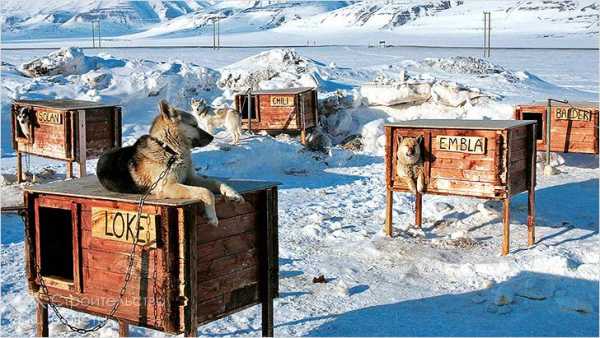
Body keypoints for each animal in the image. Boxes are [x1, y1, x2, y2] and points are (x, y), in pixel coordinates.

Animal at [97, 99, 243, 226]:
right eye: (194, 125)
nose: (212, 137)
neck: (171, 151)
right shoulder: (168, 186)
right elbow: (206, 192)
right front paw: (212, 215)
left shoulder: (191, 179)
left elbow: (216, 182)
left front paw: (233, 193)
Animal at [386, 120, 536, 255]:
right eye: (406, 145)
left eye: (414, 146)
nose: (411, 151)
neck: (411, 164)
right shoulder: (399, 174)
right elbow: (408, 179)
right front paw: (413, 187)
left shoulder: (421, 170)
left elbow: (421, 178)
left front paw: (420, 186)